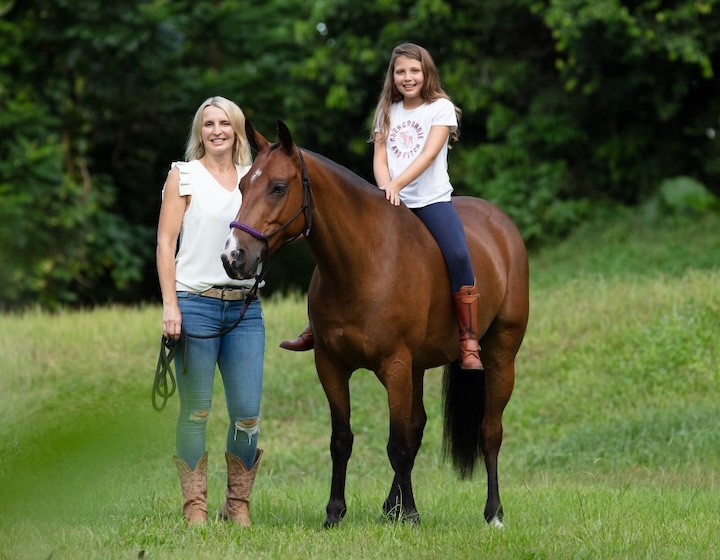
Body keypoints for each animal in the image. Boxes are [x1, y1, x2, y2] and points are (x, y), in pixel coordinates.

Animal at [222, 120, 532, 528]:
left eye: (278, 187)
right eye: (243, 186)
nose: (233, 257)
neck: (364, 263)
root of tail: (502, 224)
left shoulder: (395, 366)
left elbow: (397, 444)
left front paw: (412, 515)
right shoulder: (332, 366)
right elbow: (343, 440)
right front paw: (335, 513)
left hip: (499, 355)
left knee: (489, 431)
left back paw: (492, 512)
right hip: (418, 367)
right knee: (418, 426)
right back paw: (391, 506)